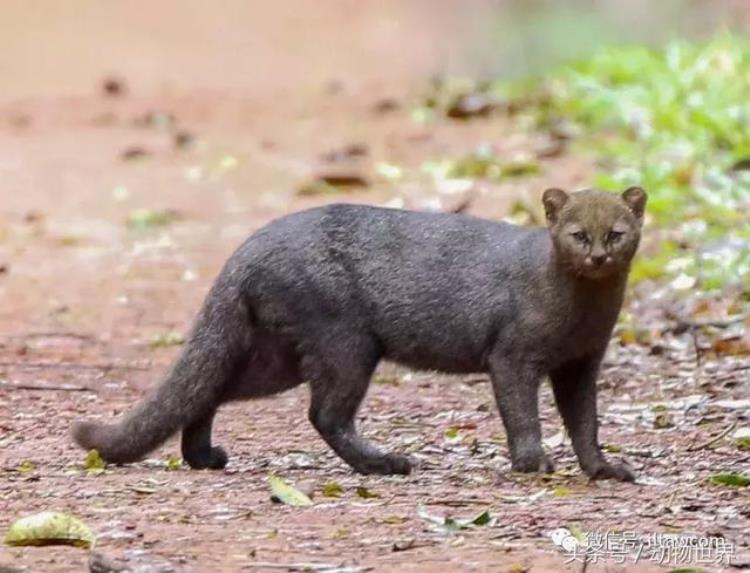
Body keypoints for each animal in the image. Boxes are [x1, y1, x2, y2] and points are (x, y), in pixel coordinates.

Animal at [75, 187, 648, 478]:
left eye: (617, 233)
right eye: (578, 235)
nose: (599, 256)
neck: (582, 311)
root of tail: (250, 246)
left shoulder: (582, 362)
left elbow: (585, 422)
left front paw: (604, 469)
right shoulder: (512, 356)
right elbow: (524, 416)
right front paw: (533, 463)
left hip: (282, 356)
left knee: (210, 387)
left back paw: (204, 457)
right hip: (345, 343)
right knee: (324, 413)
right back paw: (385, 463)